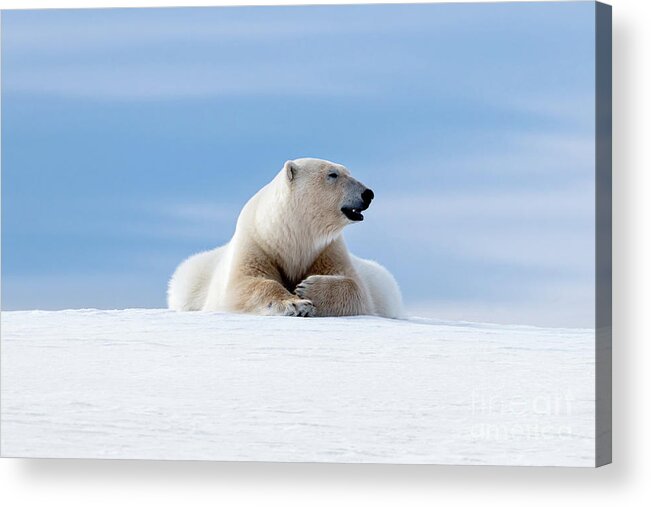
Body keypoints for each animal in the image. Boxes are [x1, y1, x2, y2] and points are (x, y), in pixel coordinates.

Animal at [167, 159, 402, 318]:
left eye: (347, 172)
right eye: (333, 174)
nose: (368, 193)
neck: (287, 236)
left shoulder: (327, 249)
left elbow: (357, 289)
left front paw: (308, 288)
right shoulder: (256, 243)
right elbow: (243, 284)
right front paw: (297, 304)